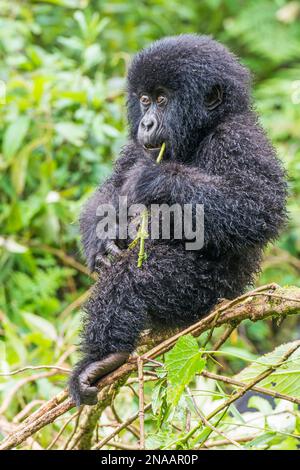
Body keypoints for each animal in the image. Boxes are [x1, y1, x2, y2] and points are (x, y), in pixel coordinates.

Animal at [69, 35, 288, 406]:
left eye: (162, 99)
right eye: (144, 100)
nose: (146, 123)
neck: (201, 132)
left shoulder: (238, 137)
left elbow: (258, 206)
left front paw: (158, 180)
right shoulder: (134, 149)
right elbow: (106, 196)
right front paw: (104, 238)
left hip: (204, 294)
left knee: (133, 277)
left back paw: (102, 358)